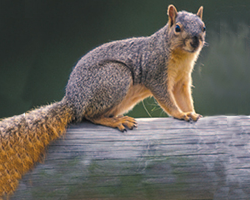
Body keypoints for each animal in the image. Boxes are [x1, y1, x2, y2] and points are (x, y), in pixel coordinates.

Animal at [0, 3, 205, 196]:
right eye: (177, 28)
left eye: (203, 27)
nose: (196, 42)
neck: (180, 55)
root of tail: (73, 101)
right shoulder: (155, 73)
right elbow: (166, 99)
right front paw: (180, 114)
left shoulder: (181, 81)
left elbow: (184, 98)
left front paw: (191, 113)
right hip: (117, 76)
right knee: (90, 116)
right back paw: (116, 121)